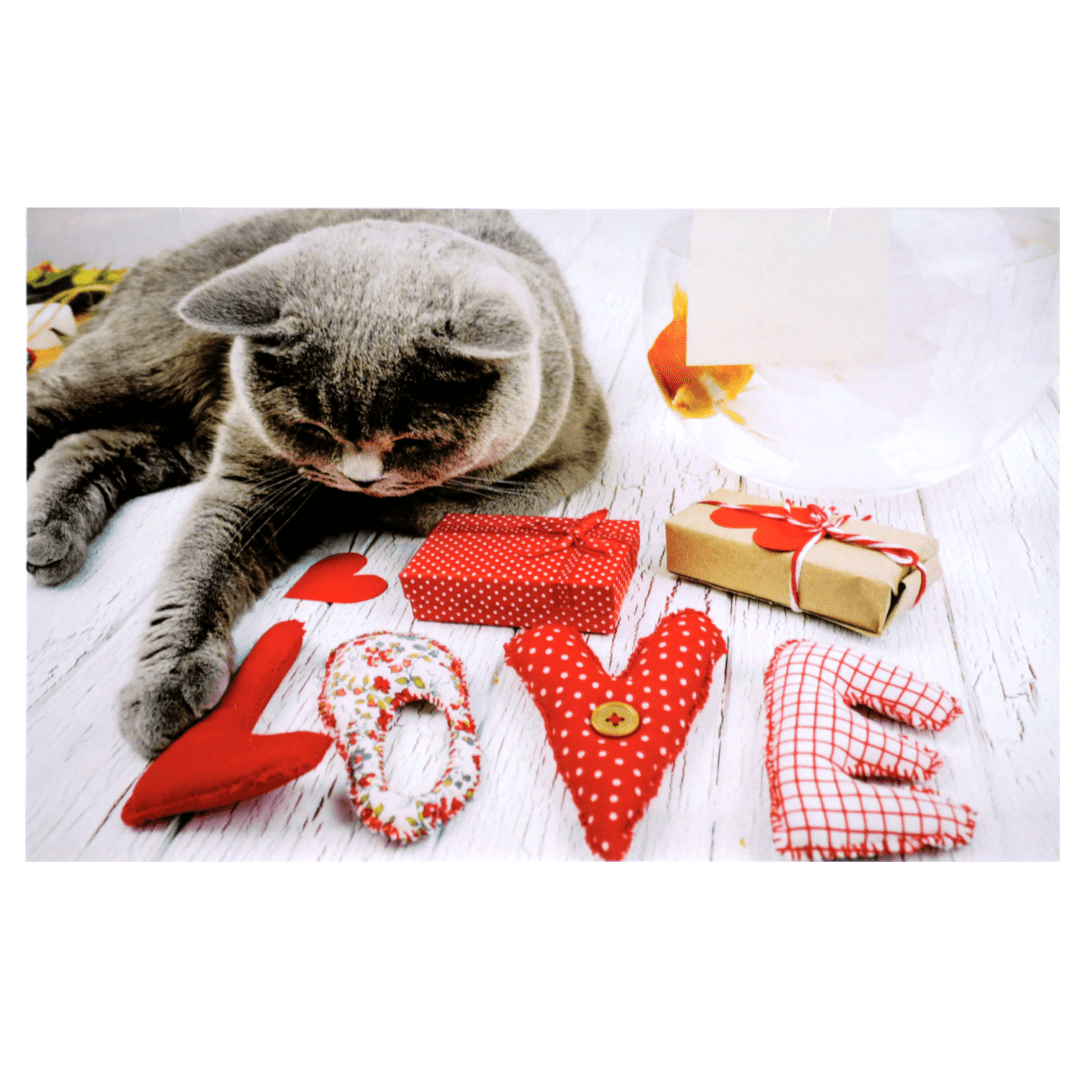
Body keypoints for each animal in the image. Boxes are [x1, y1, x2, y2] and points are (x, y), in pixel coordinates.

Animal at [27, 206, 609, 756]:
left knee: (93, 445)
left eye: (411, 441)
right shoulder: (249, 471)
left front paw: (375, 507)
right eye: (313, 429)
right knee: (51, 405)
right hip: (137, 363)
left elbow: (457, 502)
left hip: (178, 436)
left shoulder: (578, 447)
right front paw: (166, 682)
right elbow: (203, 561)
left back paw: (48, 534)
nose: (361, 481)